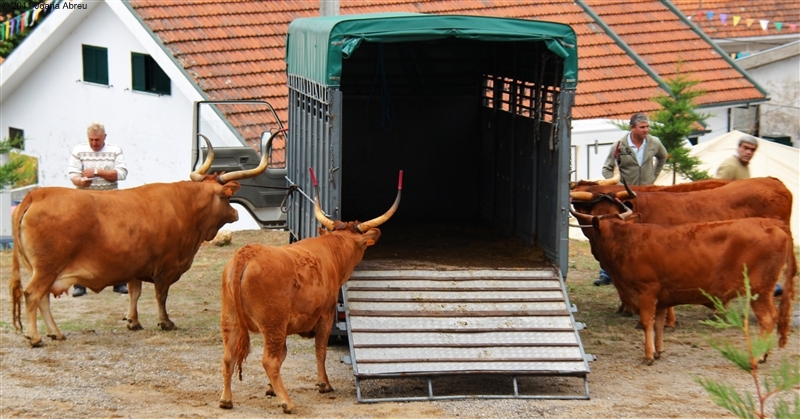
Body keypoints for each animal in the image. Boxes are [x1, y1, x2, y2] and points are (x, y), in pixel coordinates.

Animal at [10, 131, 286, 348]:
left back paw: (55, 333)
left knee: (43, 298)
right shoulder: (166, 266)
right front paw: (166, 322)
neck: (184, 206)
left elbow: (134, 292)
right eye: (227, 198)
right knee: (33, 295)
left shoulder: (135, 265)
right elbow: (161, 295)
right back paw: (36, 337)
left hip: (43, 270)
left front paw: (133, 321)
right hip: (46, 268)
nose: (235, 213)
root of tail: (37, 194)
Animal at [219, 167, 404, 414]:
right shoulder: (325, 315)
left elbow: (285, 354)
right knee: (269, 360)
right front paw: (324, 384)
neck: (333, 249)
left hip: (231, 321)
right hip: (273, 324)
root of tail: (246, 254)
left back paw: (226, 399)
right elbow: (320, 350)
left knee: (228, 357)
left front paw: (270, 389)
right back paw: (287, 403)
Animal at [572, 209, 796, 364]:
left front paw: (648, 355)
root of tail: (771, 224)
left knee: (767, 319)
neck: (626, 241)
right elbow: (658, 323)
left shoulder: (646, 291)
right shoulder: (661, 296)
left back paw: (758, 356)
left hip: (759, 291)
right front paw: (658, 351)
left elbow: (646, 322)